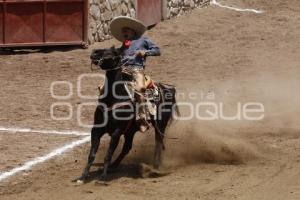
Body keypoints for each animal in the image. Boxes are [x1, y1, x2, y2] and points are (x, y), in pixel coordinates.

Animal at [76, 47, 179, 183]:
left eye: (110, 53)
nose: (94, 52)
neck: (113, 98)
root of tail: (168, 88)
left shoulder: (117, 131)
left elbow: (108, 154)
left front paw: (102, 178)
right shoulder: (97, 129)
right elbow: (92, 155)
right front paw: (83, 176)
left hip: (160, 125)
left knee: (158, 143)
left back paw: (155, 168)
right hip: (131, 130)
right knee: (127, 147)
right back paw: (113, 167)